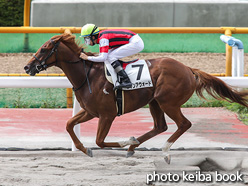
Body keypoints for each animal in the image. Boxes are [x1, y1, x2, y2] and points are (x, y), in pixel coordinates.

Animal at [24, 32, 248, 163]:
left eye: (44, 49)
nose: (27, 67)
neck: (88, 75)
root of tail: (188, 68)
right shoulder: (90, 112)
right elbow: (69, 125)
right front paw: (85, 149)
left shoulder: (107, 114)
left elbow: (100, 140)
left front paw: (124, 141)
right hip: (154, 102)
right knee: (160, 126)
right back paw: (134, 146)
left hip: (168, 101)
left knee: (184, 124)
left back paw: (162, 150)